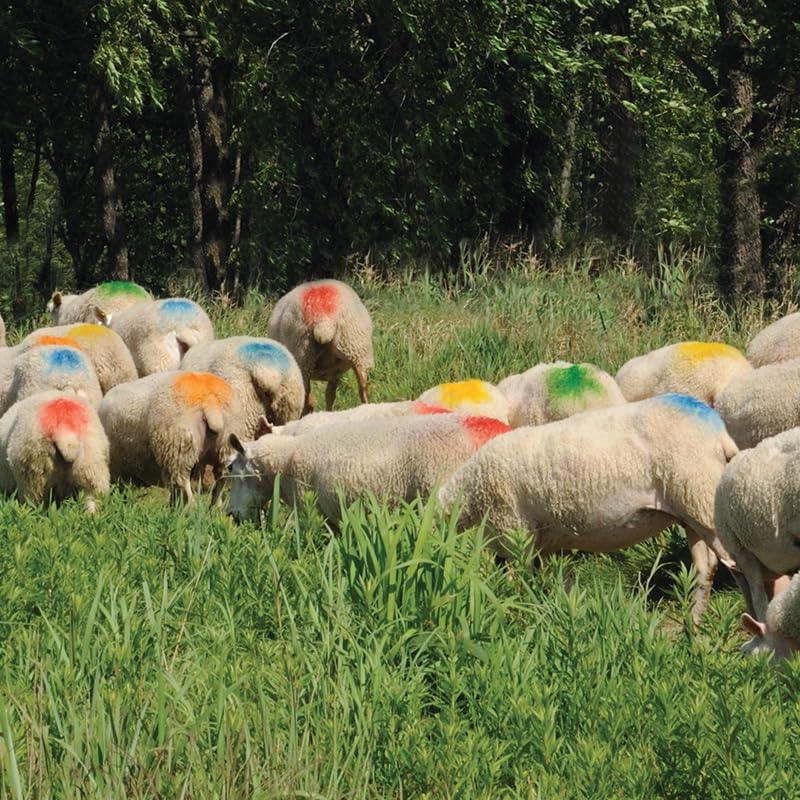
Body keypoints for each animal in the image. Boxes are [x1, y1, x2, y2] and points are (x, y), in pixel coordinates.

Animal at [99, 370, 237, 501]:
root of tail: (209, 401)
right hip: (226, 447)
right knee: (220, 480)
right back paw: (214, 506)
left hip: (176, 448)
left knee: (184, 488)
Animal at [267, 279, 374, 412]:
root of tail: (323, 319)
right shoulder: (335, 372)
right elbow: (330, 396)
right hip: (356, 347)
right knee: (363, 388)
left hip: (302, 356)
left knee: (307, 399)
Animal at [437, 394, 739, 622]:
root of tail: (718, 433)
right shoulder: (545, 545)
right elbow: (558, 581)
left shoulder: (515, 535)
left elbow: (518, 583)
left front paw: (517, 615)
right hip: (692, 508)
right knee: (707, 567)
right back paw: (694, 625)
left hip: (702, 497)